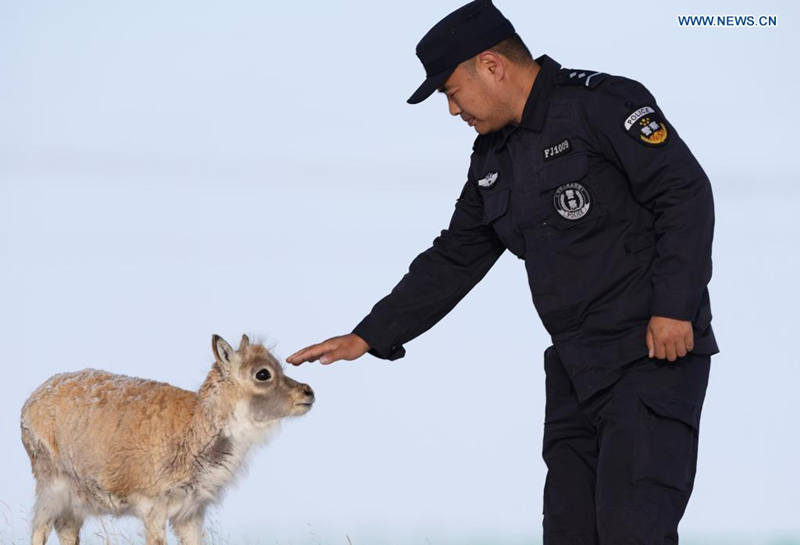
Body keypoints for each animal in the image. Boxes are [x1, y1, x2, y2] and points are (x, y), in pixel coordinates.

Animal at [18, 334, 312, 544]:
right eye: (262, 373)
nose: (308, 392)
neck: (191, 435)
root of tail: (30, 401)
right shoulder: (153, 508)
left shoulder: (191, 513)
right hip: (51, 484)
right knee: (40, 528)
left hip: (75, 498)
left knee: (66, 529)